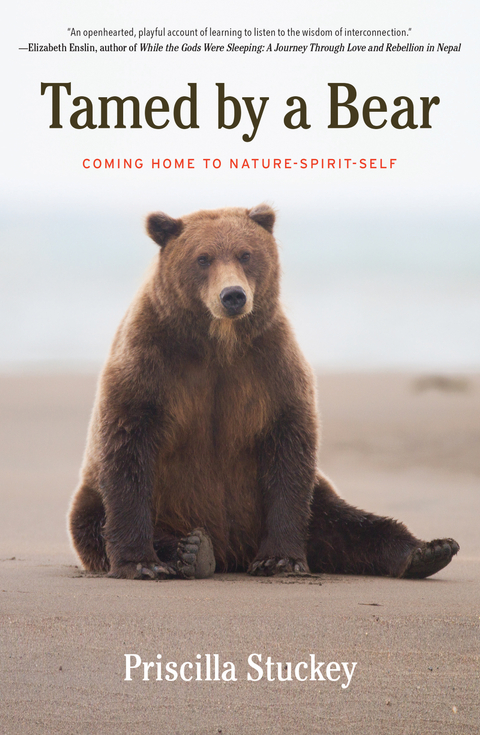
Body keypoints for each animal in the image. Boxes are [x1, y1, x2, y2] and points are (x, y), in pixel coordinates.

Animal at [68, 204, 459, 581]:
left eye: (245, 254)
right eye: (203, 258)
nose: (233, 296)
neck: (218, 344)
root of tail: (234, 552)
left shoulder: (270, 367)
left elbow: (288, 449)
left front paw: (280, 559)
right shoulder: (152, 362)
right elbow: (129, 447)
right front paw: (141, 564)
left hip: (310, 503)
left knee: (347, 522)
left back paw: (428, 551)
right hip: (106, 501)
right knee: (93, 523)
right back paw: (192, 550)